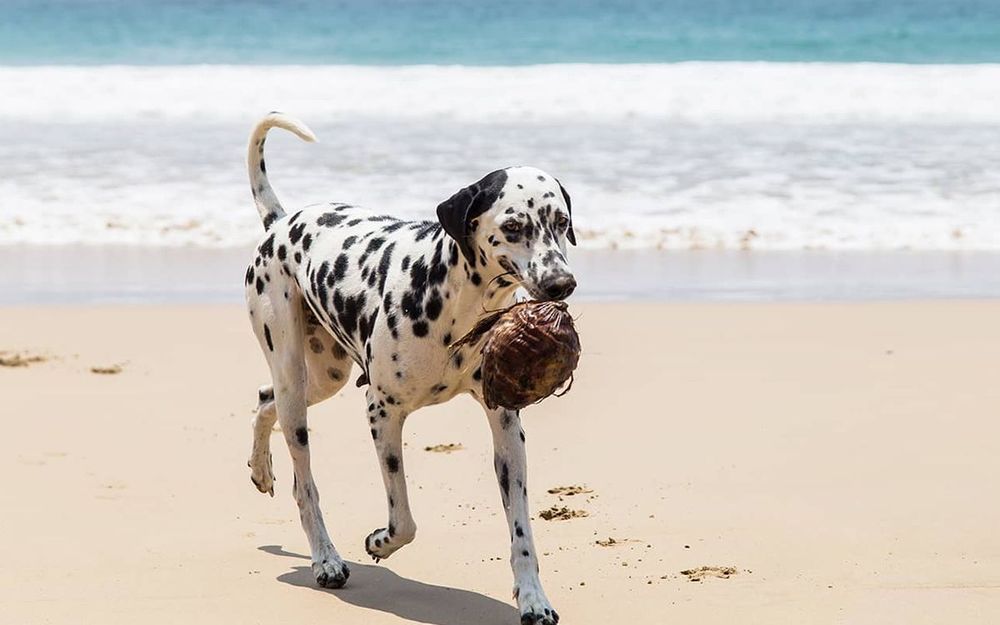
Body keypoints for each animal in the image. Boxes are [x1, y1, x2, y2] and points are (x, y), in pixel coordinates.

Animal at [242, 114, 580, 620]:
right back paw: (326, 558)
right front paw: (379, 542)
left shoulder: (506, 426)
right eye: (514, 225)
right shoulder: (382, 412)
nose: (563, 283)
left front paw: (534, 599)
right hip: (292, 375)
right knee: (304, 483)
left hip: (323, 377)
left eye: (561, 222)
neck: (457, 301)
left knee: (265, 401)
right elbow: (403, 520)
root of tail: (280, 222)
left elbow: (522, 531)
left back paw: (261, 469)